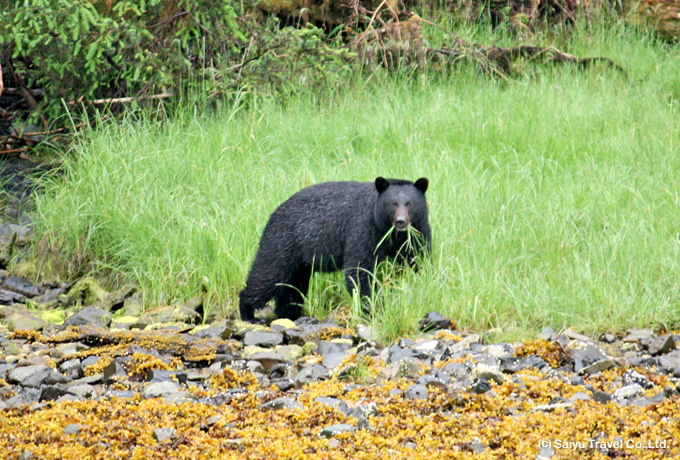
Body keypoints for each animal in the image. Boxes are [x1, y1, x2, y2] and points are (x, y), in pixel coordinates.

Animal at [239, 177, 431, 322]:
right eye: (393, 203)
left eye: (409, 203)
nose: (401, 222)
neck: (390, 233)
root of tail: (274, 213)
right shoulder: (363, 228)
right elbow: (359, 269)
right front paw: (370, 307)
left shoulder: (417, 233)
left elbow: (417, 259)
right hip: (282, 242)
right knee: (267, 274)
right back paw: (248, 313)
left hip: (299, 262)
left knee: (292, 288)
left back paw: (289, 314)